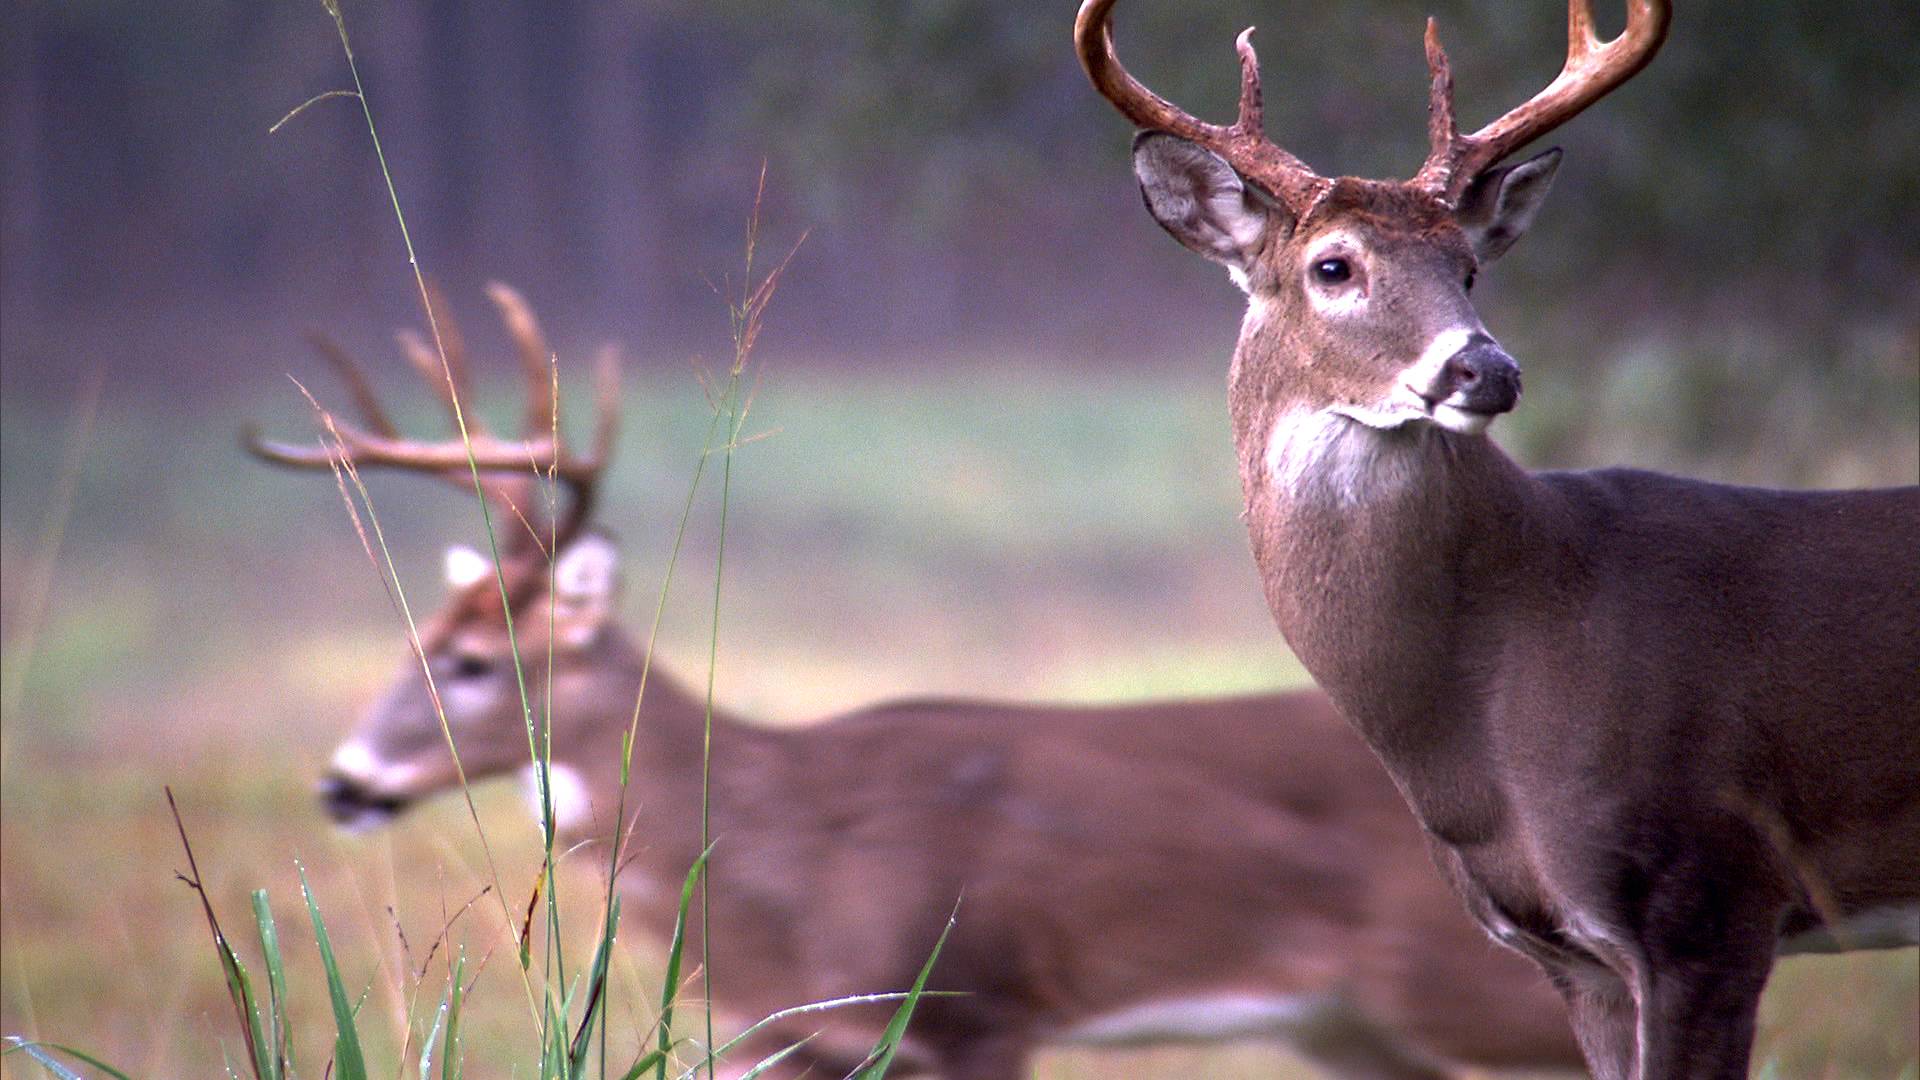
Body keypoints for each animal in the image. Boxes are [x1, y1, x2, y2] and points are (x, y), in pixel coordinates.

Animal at [247, 284, 1587, 1080]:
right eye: (408, 642)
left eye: (472, 663)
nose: (341, 782)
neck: (768, 854)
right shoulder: (791, 1041)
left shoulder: (975, 1001)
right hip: (1353, 1027)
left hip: (1471, 986)